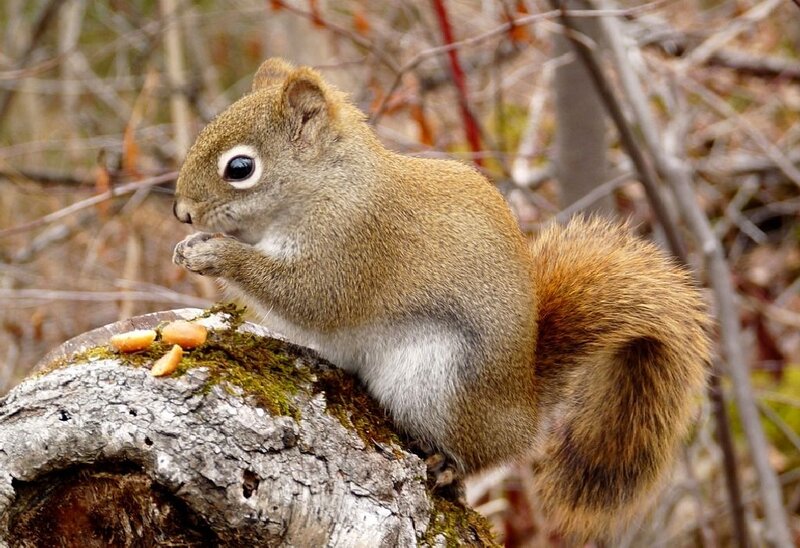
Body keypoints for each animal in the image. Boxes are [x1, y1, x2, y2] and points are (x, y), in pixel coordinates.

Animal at [172, 58, 710, 540]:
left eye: (240, 168)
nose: (182, 213)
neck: (329, 183)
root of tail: (525, 410)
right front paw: (189, 247)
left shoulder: (354, 246)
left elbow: (311, 297)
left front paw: (216, 254)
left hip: (436, 381)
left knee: (475, 456)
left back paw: (448, 466)